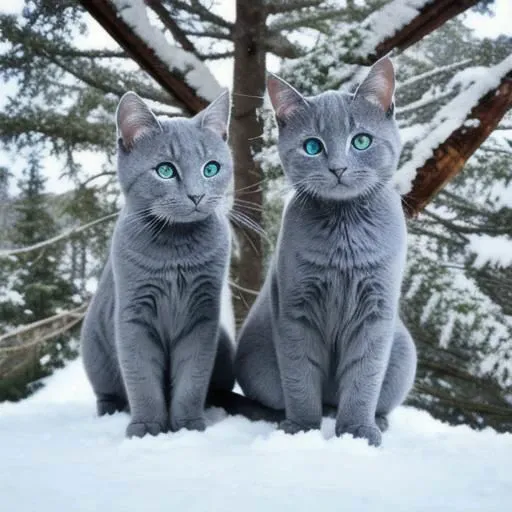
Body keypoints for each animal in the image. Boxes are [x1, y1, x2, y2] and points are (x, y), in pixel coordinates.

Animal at [81, 90, 237, 438]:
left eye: (211, 168)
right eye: (165, 171)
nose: (196, 196)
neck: (176, 251)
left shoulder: (202, 318)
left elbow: (193, 377)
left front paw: (187, 424)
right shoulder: (133, 315)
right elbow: (141, 378)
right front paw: (147, 426)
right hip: (93, 344)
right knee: (105, 392)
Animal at [234, 58, 418, 446]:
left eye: (361, 141)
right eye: (312, 147)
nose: (338, 168)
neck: (344, 230)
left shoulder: (376, 312)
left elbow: (364, 376)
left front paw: (358, 432)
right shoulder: (295, 309)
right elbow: (300, 375)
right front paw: (303, 428)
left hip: (403, 352)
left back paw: (376, 420)